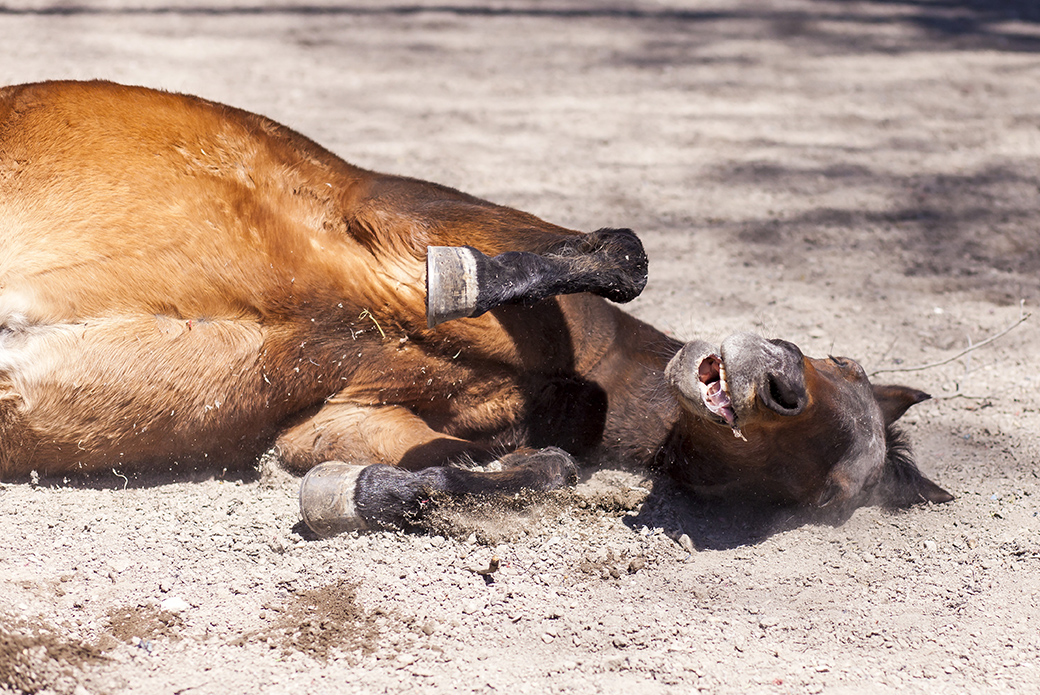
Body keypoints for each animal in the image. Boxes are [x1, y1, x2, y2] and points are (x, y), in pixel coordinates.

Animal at [0, 78, 952, 528]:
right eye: (840, 361)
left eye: (821, 497)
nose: (776, 381)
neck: (581, 383)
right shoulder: (402, 211)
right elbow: (617, 254)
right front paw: (454, 282)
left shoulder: (335, 417)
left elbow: (537, 466)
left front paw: (364, 495)